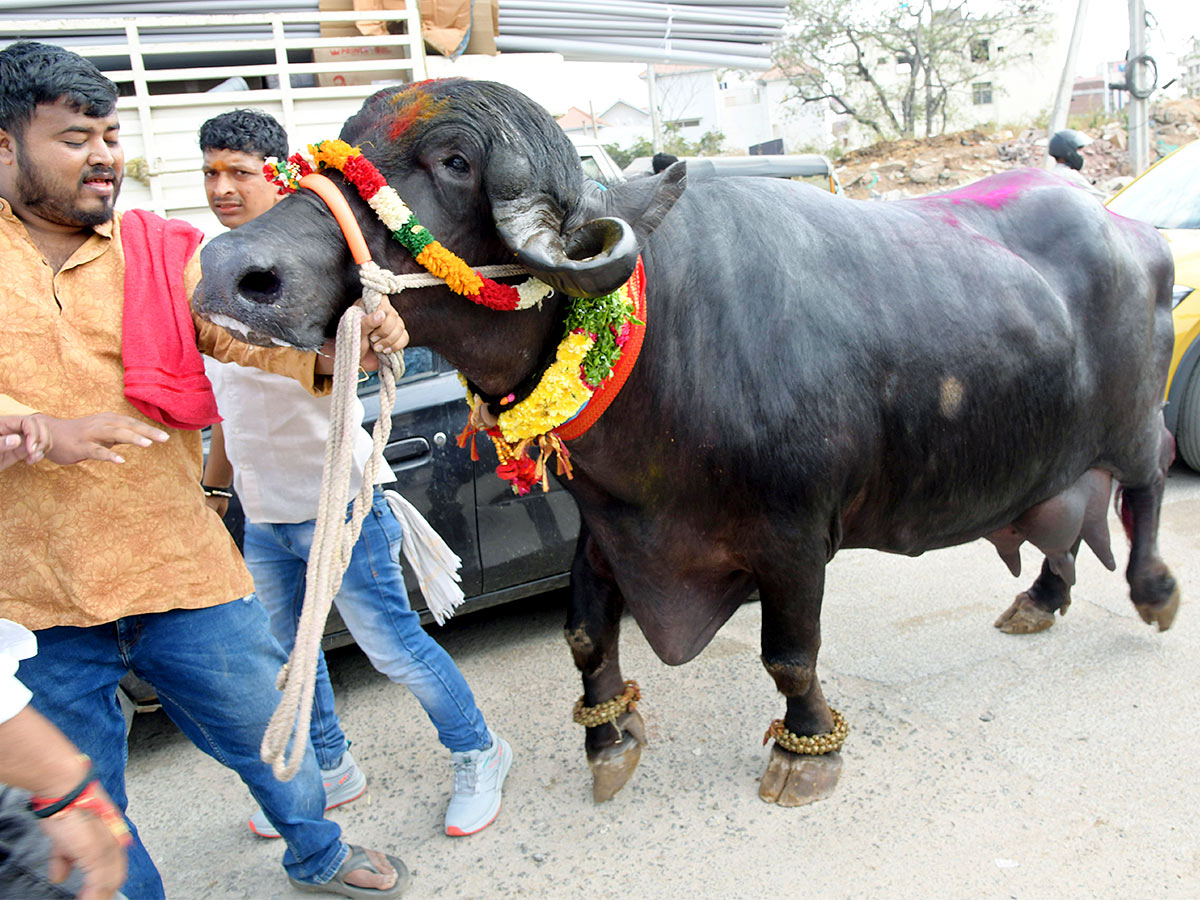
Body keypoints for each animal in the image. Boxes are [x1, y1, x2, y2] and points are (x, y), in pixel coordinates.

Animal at [196, 79, 1180, 811]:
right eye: (339, 142)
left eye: (454, 161)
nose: (232, 273)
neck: (665, 337)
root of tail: (1133, 231)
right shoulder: (611, 527)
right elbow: (584, 635)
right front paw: (608, 736)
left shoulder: (795, 538)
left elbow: (790, 652)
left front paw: (806, 750)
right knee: (1062, 519)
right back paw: (1040, 599)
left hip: (1136, 427)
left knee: (1148, 487)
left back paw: (1156, 593)